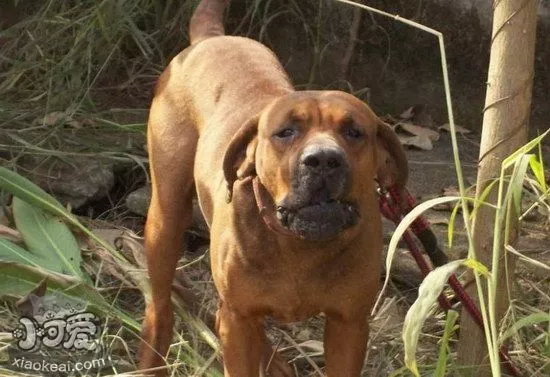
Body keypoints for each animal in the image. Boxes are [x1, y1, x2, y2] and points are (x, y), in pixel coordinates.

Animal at [138, 0, 410, 376]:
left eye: (354, 132)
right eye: (285, 132)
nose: (323, 160)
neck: (299, 246)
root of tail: (211, 38)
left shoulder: (349, 324)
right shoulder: (238, 319)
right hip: (166, 216)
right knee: (161, 305)